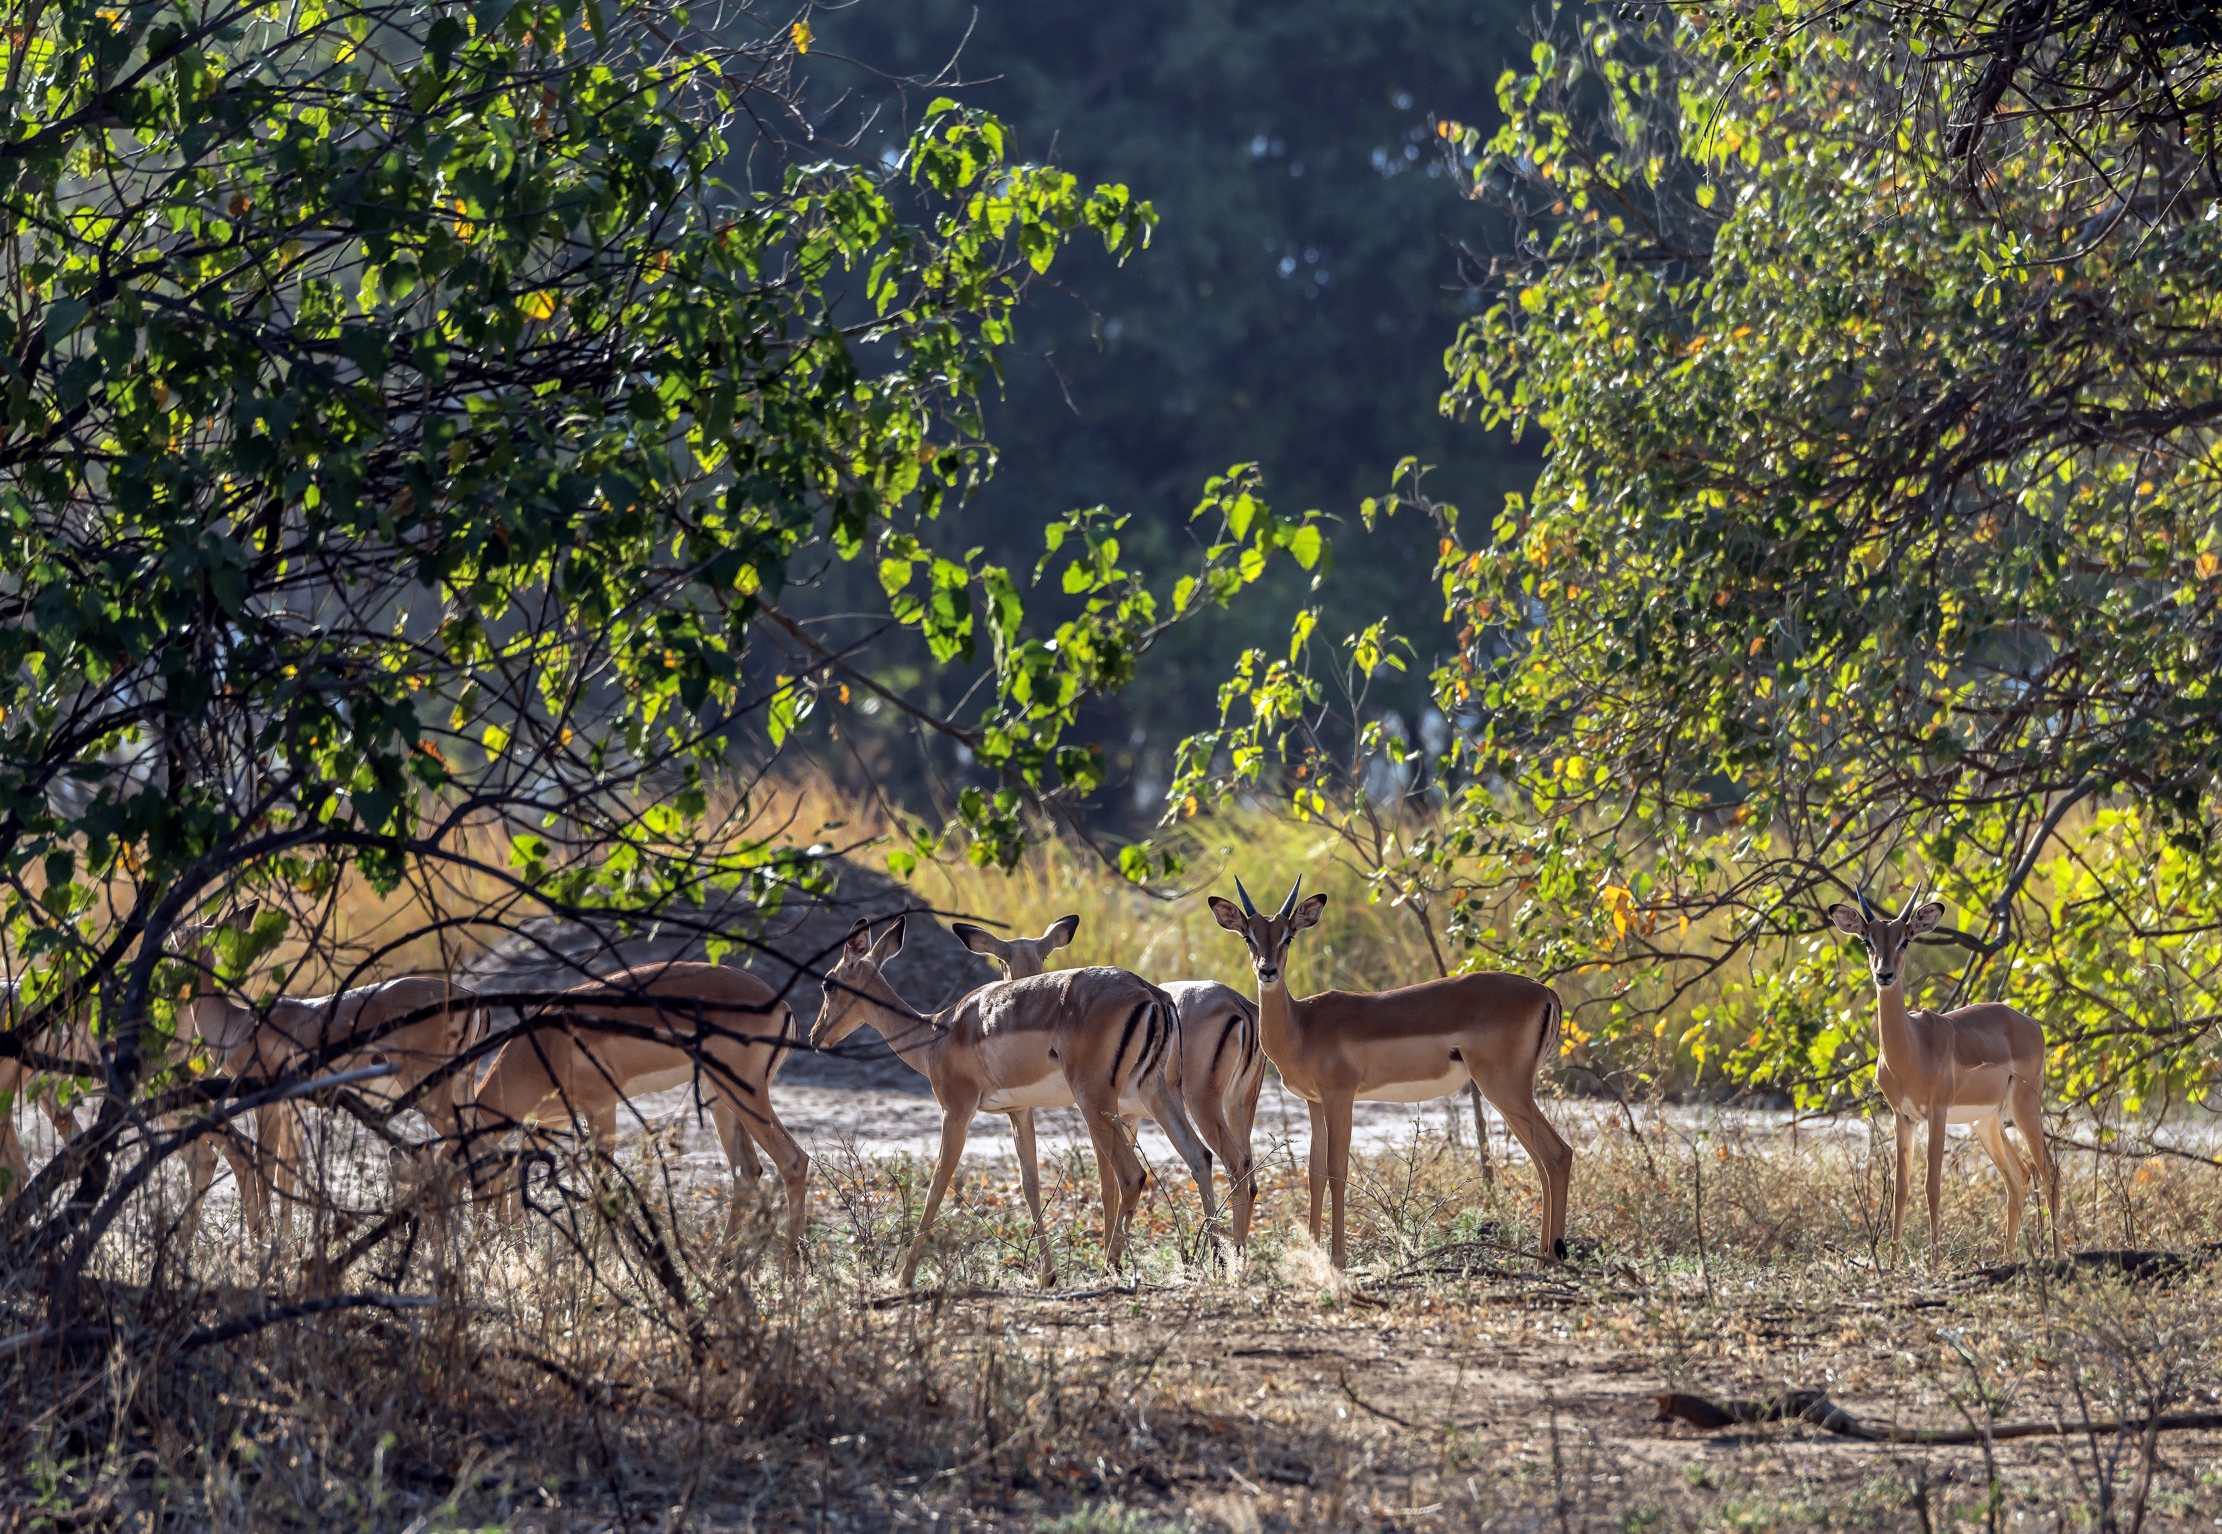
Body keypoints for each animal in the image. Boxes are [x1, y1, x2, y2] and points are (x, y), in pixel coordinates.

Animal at [461, 961, 809, 1251]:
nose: (478, 1238)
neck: (544, 1044)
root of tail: (781, 1005)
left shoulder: (600, 1107)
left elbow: (603, 1186)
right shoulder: (552, 1122)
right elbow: (517, 1175)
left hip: (742, 1095)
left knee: (794, 1161)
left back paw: (791, 1273)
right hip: (719, 1099)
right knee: (747, 1171)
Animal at [814, 916, 1215, 1288]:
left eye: (828, 983)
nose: (817, 1035)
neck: (935, 1034)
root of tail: (1151, 994)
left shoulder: (955, 1110)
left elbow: (937, 1185)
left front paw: (904, 1279)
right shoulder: (1018, 1111)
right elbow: (1030, 1183)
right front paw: (1047, 1276)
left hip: (1096, 1101)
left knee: (1131, 1175)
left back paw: (1109, 1270)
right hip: (1154, 1093)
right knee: (1200, 1156)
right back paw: (1215, 1263)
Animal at [953, 917, 1265, 1249]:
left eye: (1001, 961)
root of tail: (1240, 1004)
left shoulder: (1099, 1115)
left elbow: (1107, 1187)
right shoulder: (1128, 1116)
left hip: (1199, 1104)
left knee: (1233, 1165)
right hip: (1237, 1107)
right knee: (1240, 1173)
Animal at [1210, 877, 1572, 1269]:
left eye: (1288, 936)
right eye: (1249, 936)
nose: (1268, 971)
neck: (1302, 1027)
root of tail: (1547, 992)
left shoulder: (1340, 1097)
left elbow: (1337, 1172)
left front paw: (1338, 1260)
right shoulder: (1314, 1103)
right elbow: (1315, 1175)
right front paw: (1315, 1257)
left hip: (1504, 1089)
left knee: (1558, 1154)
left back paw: (1555, 1256)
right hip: (1509, 1094)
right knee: (1542, 1162)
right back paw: (1542, 1256)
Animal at [1828, 891, 2059, 1259]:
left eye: (1905, 939)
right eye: (1867, 940)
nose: (1884, 974)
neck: (1912, 1048)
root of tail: (2031, 1023)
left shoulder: (1937, 1113)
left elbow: (1932, 1186)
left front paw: (1935, 1261)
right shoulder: (1902, 1116)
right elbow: (1901, 1188)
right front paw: (1892, 1263)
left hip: (2025, 1109)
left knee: (2049, 1172)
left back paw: (2058, 1256)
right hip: (1987, 1122)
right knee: (2019, 1176)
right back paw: (2008, 1257)